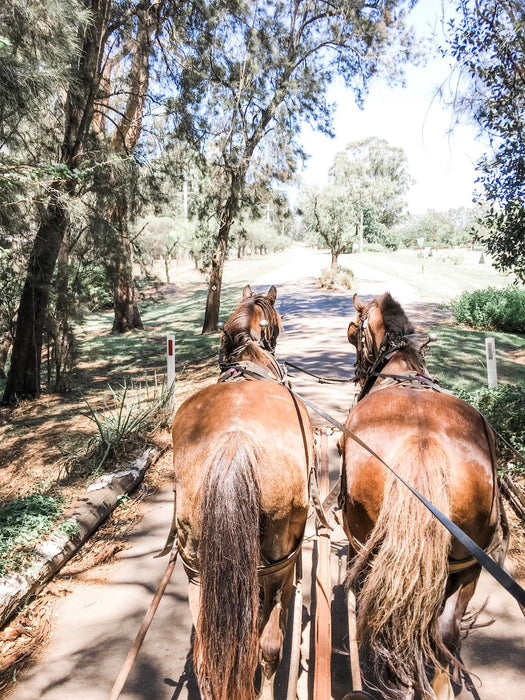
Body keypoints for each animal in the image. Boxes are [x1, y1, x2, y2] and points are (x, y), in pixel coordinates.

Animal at [172, 284, 312, 700]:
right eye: (277, 322)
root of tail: (235, 441)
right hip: (277, 560)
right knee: (268, 646)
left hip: (198, 570)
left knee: (207, 658)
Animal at [340, 294, 504, 700]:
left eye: (353, 331)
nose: (358, 373)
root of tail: (421, 440)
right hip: (467, 564)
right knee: (444, 632)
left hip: (369, 546)